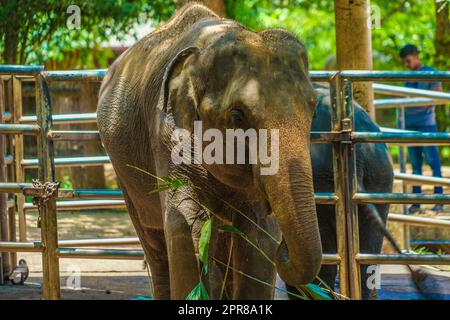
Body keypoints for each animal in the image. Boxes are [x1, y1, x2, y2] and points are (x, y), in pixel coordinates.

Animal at [98, 2, 324, 298]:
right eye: (237, 117)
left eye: (313, 109)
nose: (284, 249)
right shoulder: (167, 137)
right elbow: (185, 224)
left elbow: (260, 235)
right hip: (126, 177)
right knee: (154, 243)